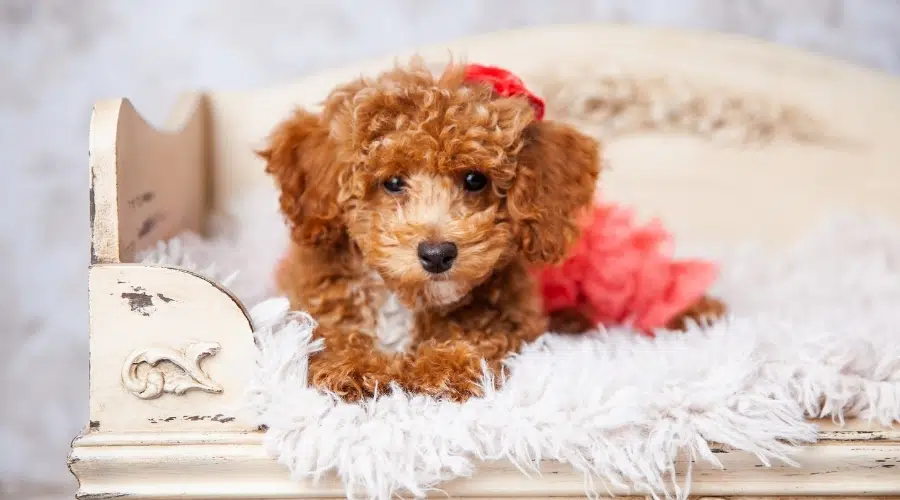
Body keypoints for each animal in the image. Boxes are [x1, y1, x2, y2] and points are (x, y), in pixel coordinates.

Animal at [260, 58, 716, 402]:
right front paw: (351, 365)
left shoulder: (509, 316)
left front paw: (444, 366)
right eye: (392, 182)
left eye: (475, 180)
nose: (438, 254)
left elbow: (478, 338)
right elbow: (325, 333)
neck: (405, 299)